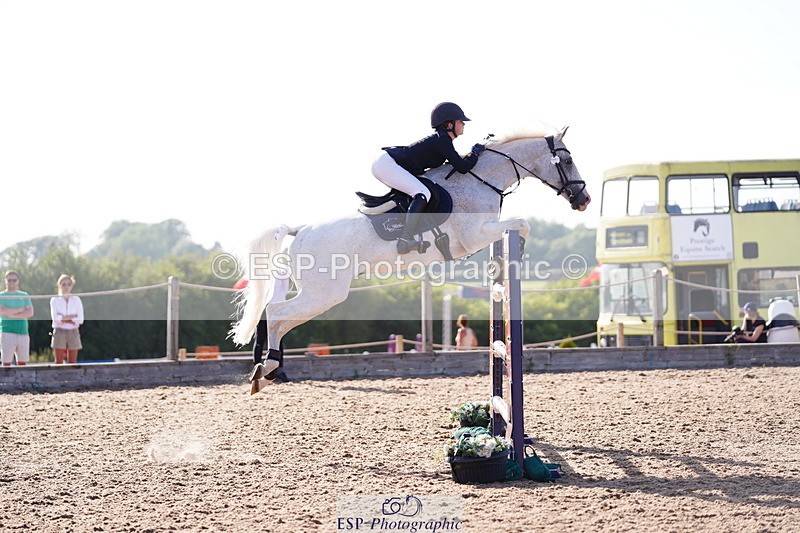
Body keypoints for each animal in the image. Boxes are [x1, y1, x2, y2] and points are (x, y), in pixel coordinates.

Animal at [231, 127, 591, 359]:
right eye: (568, 160)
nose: (584, 199)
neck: (478, 179)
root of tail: (300, 230)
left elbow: (519, 225)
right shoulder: (475, 234)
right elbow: (523, 223)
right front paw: (518, 254)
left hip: (311, 290)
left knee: (274, 310)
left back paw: (264, 368)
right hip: (324, 294)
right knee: (276, 312)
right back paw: (269, 367)